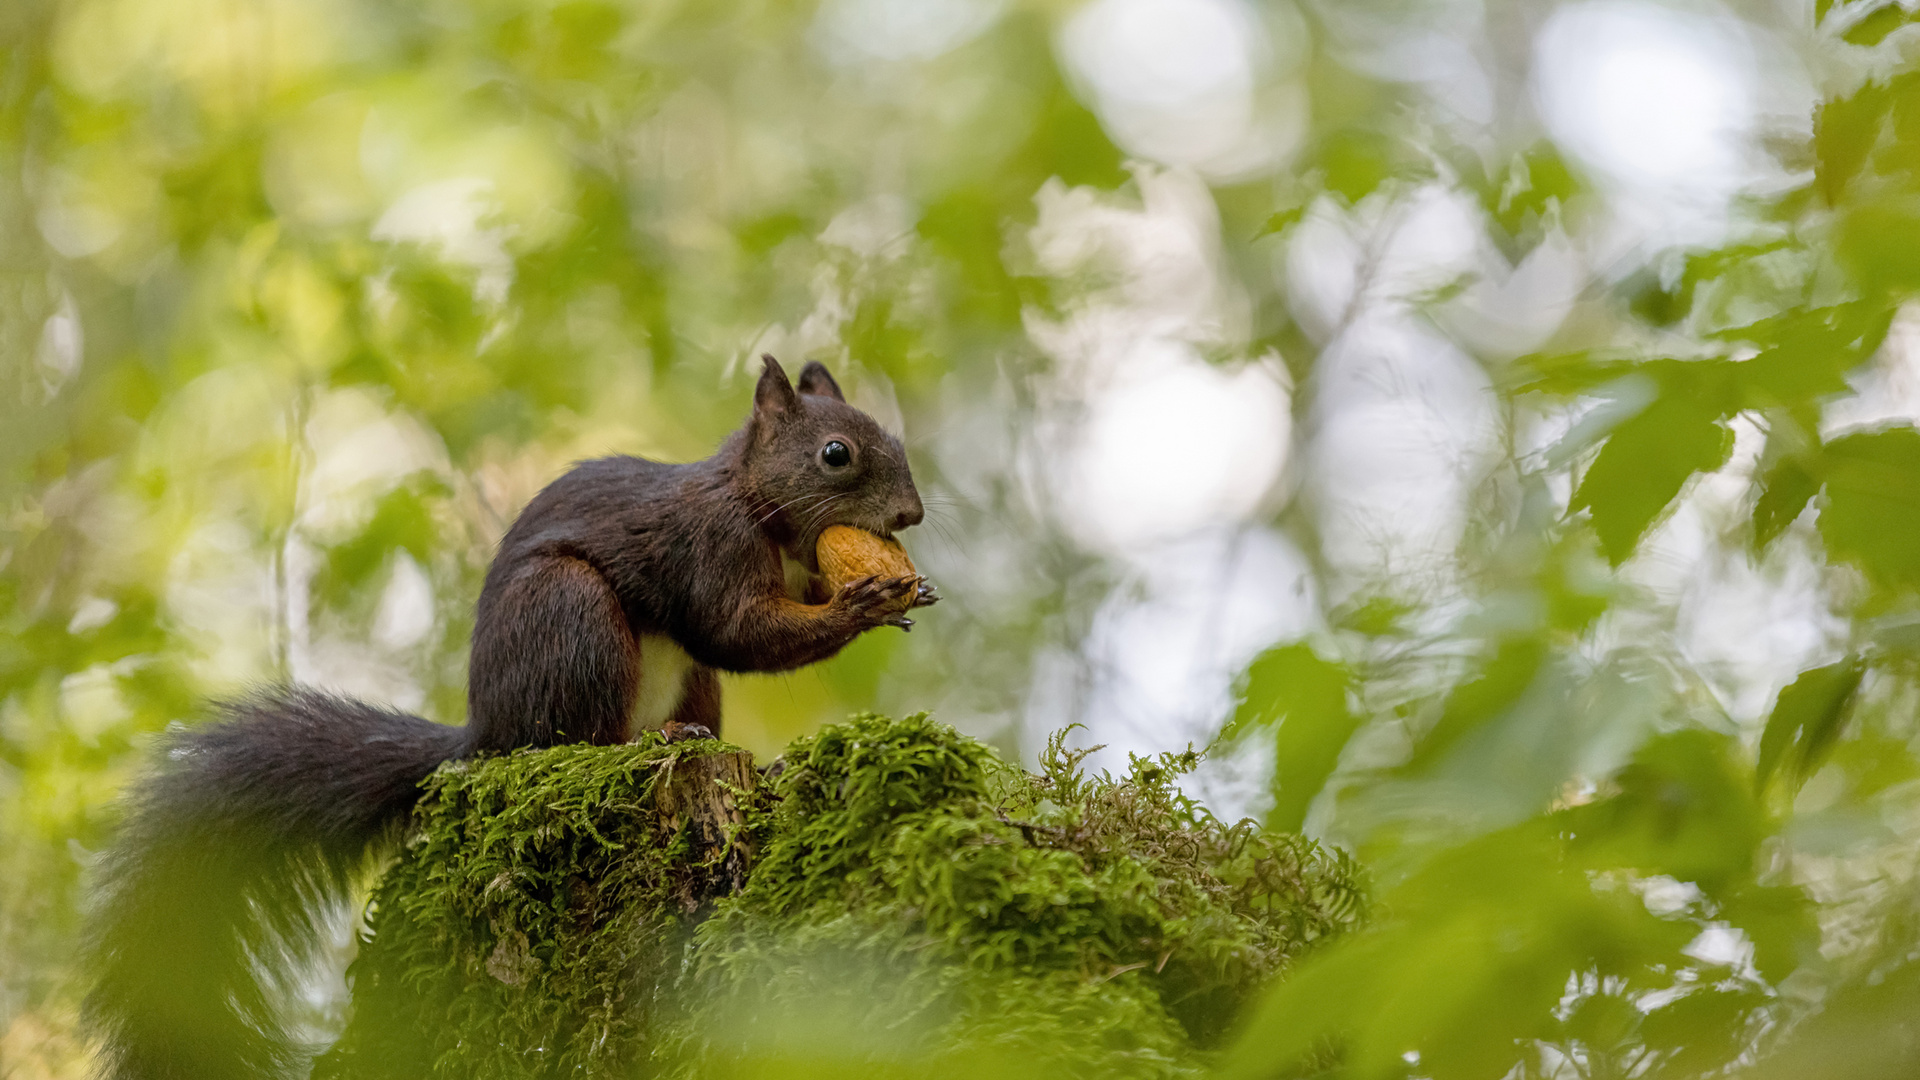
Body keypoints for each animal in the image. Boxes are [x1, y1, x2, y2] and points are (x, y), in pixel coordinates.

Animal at [82, 353, 936, 1076]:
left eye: (892, 438)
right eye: (835, 454)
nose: (912, 514)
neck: (763, 506)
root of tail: (484, 735)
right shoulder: (712, 547)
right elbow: (738, 630)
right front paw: (862, 603)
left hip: (687, 681)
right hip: (569, 618)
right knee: (573, 740)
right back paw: (641, 744)